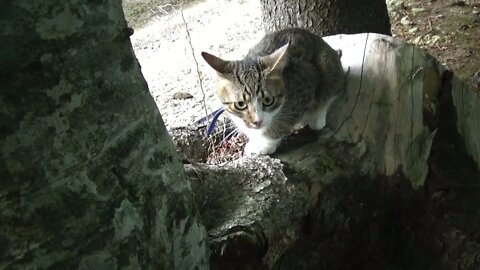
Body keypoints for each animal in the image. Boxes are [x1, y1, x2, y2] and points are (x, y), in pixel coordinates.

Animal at [201, 28, 344, 155]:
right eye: (240, 104)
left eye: (268, 100)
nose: (257, 122)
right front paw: (256, 139)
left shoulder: (305, 83)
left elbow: (283, 121)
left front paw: (266, 143)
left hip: (328, 64)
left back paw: (317, 116)